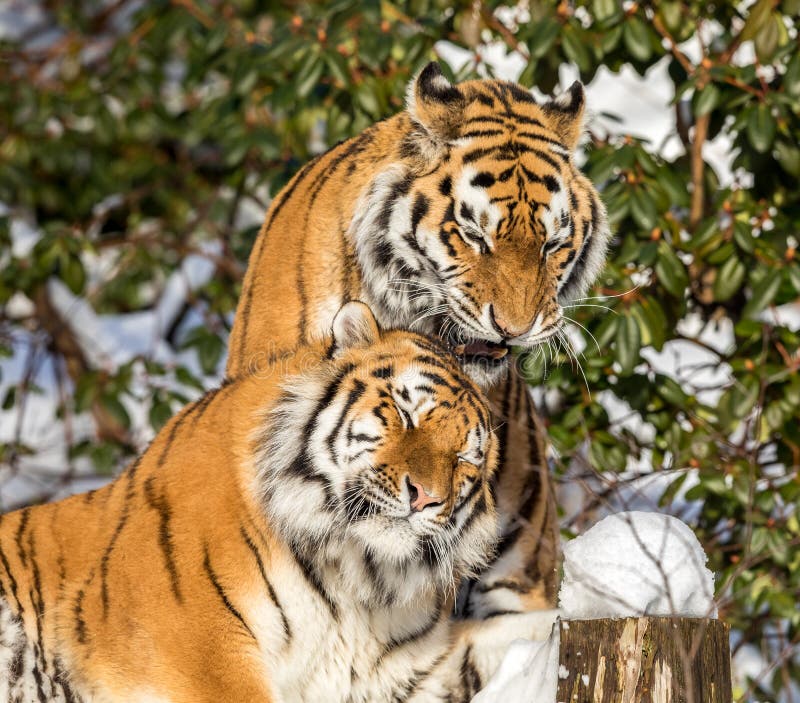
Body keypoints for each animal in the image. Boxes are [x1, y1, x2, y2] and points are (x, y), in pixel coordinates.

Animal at [0, 304, 556, 703]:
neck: (357, 575)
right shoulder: (198, 648)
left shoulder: (403, 671)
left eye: (464, 456)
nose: (426, 497)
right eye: (404, 412)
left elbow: (506, 638)